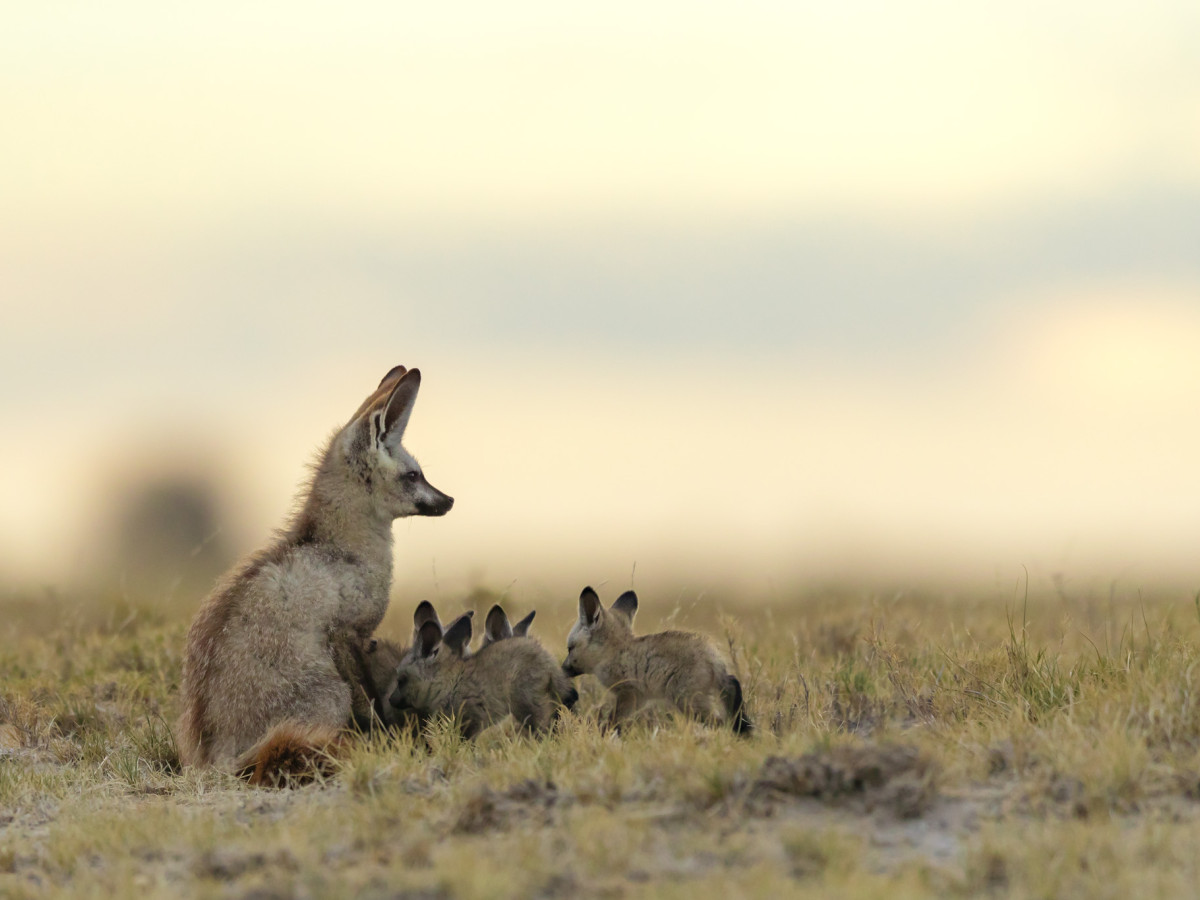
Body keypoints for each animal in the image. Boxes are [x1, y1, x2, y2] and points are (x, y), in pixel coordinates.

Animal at [177, 365, 454, 783]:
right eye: (413, 476)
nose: (450, 500)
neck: (340, 548)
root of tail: (210, 761)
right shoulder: (347, 635)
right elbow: (371, 700)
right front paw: (385, 739)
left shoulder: (359, 638)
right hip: (331, 693)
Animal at [388, 605, 578, 738]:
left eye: (401, 680)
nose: (390, 700)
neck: (449, 683)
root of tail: (548, 661)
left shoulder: (472, 721)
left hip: (527, 706)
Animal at [561, 586, 752, 735]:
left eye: (570, 648)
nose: (562, 668)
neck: (614, 651)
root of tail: (712, 655)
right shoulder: (640, 698)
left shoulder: (629, 692)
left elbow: (612, 720)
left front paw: (603, 735)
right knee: (733, 685)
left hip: (688, 702)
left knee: (719, 721)